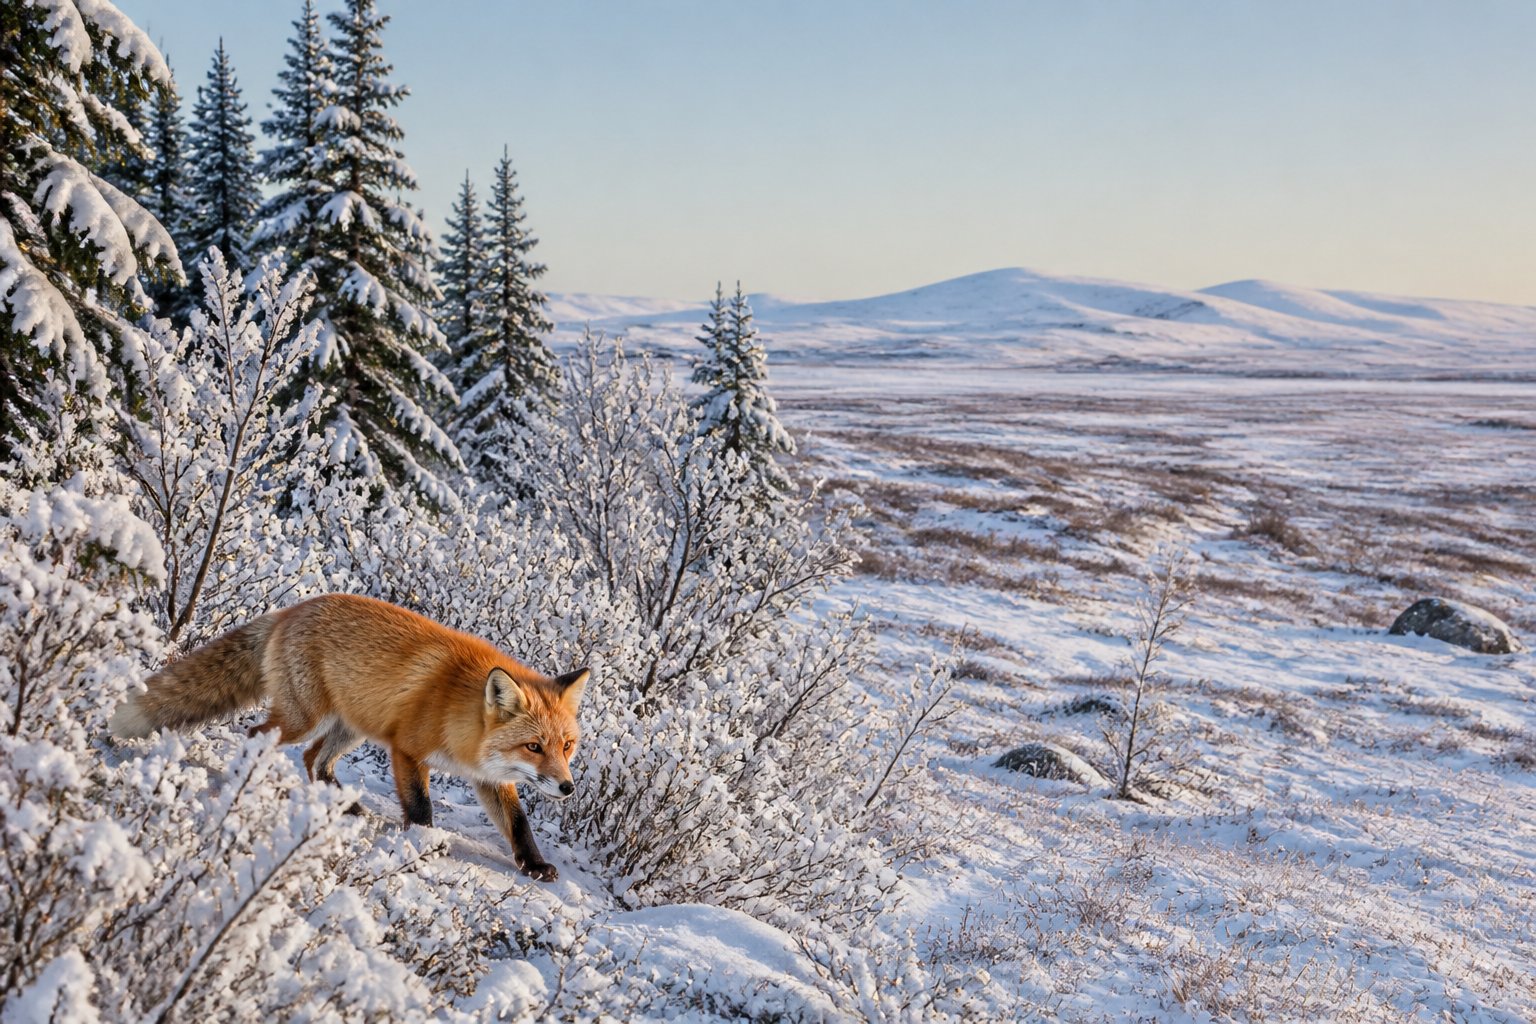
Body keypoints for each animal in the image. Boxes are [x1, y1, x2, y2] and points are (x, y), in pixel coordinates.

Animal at [109, 593, 588, 882]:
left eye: (566, 747)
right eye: (533, 746)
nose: (567, 787)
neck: (459, 713)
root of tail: (290, 610)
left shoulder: (490, 777)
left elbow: (518, 823)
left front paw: (534, 863)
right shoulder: (406, 750)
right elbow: (421, 808)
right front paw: (422, 847)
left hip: (350, 728)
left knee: (314, 760)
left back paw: (342, 805)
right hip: (305, 719)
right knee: (258, 735)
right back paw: (251, 781)